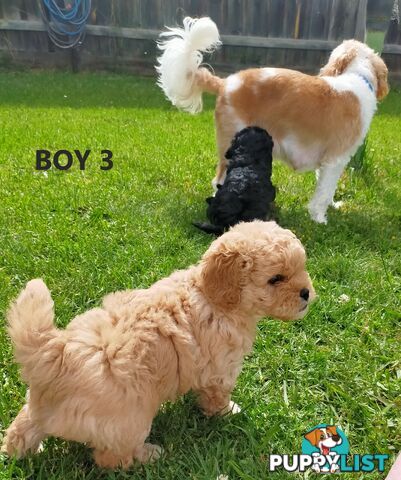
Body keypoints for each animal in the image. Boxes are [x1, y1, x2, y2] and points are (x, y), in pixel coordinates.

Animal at [3, 220, 316, 468]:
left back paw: (18, 450)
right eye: (276, 279)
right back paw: (150, 455)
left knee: (23, 427)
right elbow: (217, 396)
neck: (211, 294)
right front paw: (227, 412)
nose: (306, 293)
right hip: (131, 420)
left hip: (39, 406)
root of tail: (57, 354)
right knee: (112, 459)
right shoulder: (220, 370)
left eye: (301, 268)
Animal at [156, 16, 388, 223]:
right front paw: (319, 218)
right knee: (218, 180)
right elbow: (323, 194)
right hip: (232, 148)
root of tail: (224, 84)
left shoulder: (328, 163)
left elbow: (325, 188)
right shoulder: (336, 160)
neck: (357, 78)